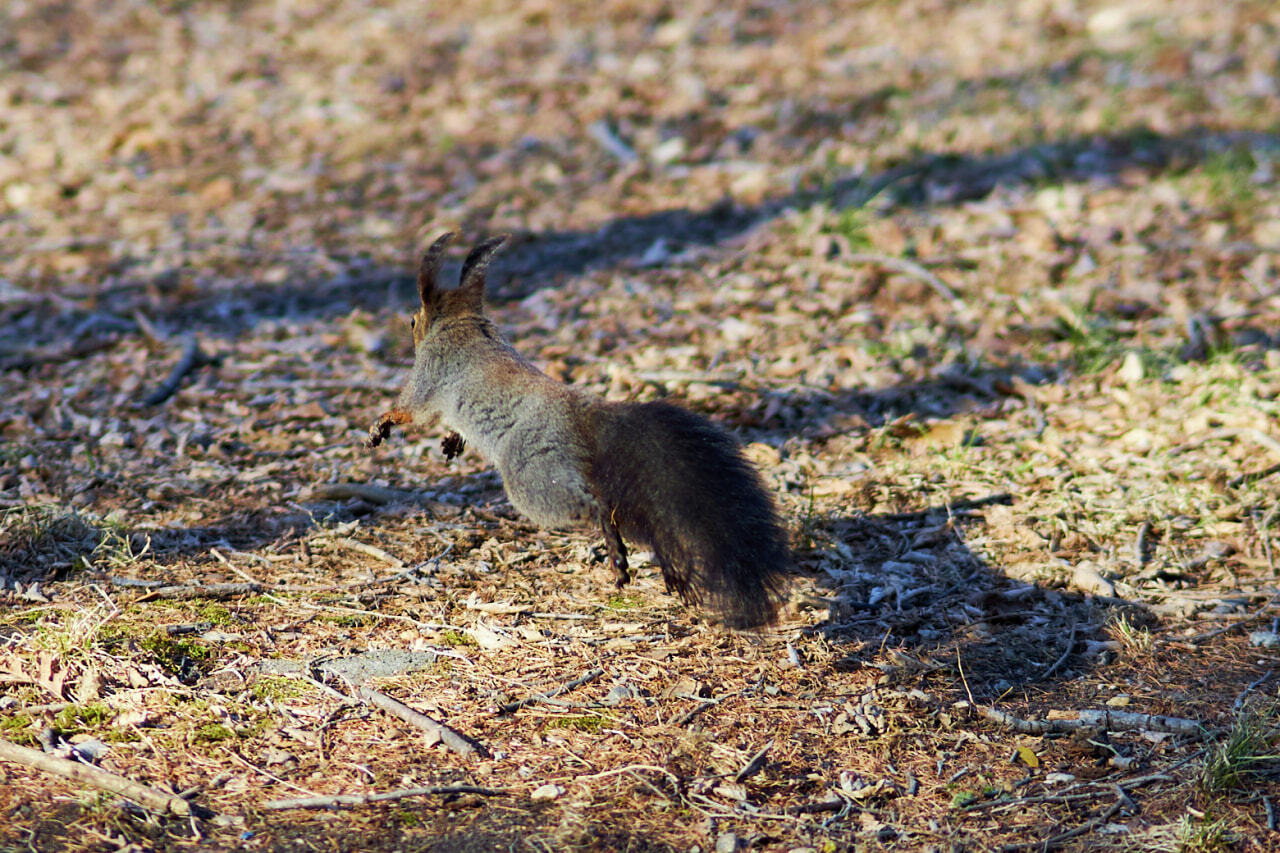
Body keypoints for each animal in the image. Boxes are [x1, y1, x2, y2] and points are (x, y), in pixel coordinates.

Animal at [366, 230, 788, 625]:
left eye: (412, 320)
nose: (409, 329)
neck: (462, 323)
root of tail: (580, 416)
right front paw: (453, 441)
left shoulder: (429, 375)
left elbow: (411, 412)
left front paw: (381, 425)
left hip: (532, 477)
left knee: (594, 506)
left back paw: (616, 552)